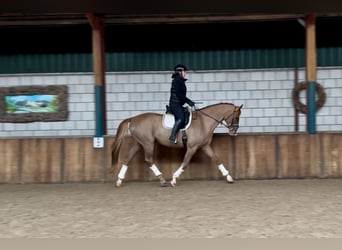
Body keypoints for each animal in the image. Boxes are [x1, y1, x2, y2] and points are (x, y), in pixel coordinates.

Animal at [111, 102, 242, 188]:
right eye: (236, 117)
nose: (234, 132)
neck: (204, 122)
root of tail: (133, 118)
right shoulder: (192, 147)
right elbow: (185, 162)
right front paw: (174, 179)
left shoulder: (204, 146)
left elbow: (216, 159)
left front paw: (229, 177)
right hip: (148, 143)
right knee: (148, 159)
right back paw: (162, 179)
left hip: (139, 143)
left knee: (127, 159)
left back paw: (119, 180)